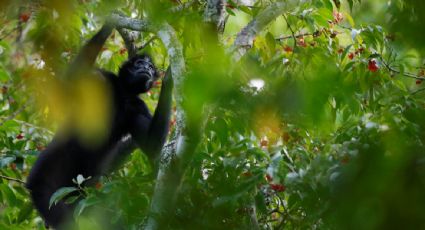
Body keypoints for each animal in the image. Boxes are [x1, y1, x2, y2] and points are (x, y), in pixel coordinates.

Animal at [25, 22, 172, 227]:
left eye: (150, 67)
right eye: (139, 64)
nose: (147, 69)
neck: (123, 92)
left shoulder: (138, 106)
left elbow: (152, 144)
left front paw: (169, 80)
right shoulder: (103, 77)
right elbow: (70, 81)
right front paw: (109, 24)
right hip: (49, 168)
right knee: (49, 198)